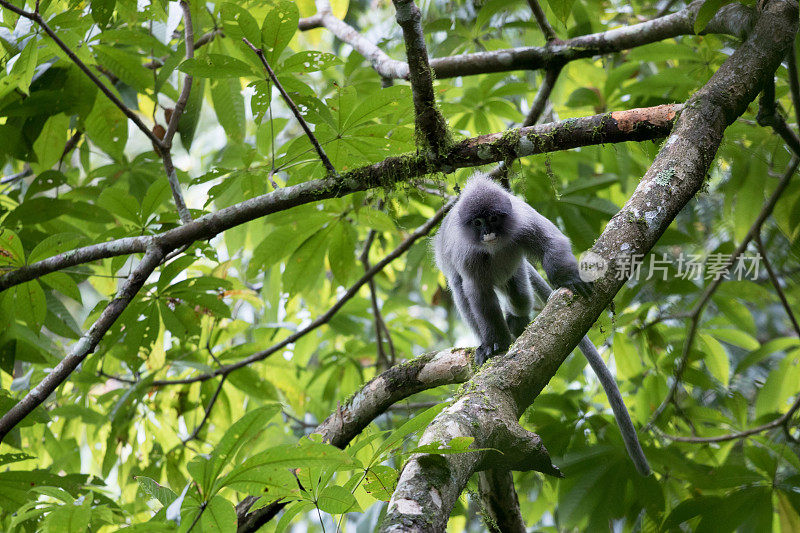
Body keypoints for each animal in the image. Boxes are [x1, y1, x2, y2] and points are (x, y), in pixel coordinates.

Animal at [432, 174, 648, 474]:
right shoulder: (468, 255)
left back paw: (518, 319)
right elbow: (477, 292)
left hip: (514, 272)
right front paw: (495, 344)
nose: (487, 231)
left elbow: (551, 241)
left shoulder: (523, 220)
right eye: (477, 223)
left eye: (493, 218)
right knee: (462, 289)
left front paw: (567, 278)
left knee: (518, 293)